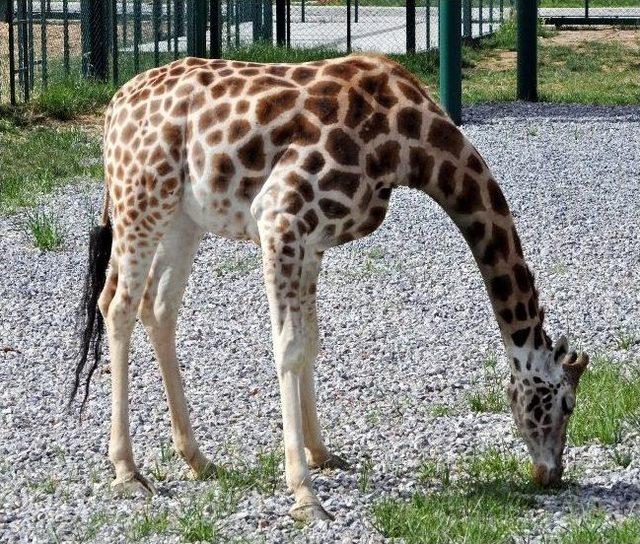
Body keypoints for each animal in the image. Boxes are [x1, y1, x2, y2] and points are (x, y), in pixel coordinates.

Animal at [71, 53, 592, 520]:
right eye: (564, 403)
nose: (550, 474)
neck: (409, 144)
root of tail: (114, 107)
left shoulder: (313, 239)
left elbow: (311, 344)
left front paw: (321, 454)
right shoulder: (280, 216)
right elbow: (287, 347)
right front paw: (304, 494)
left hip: (183, 216)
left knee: (157, 307)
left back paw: (197, 459)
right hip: (142, 199)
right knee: (117, 305)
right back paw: (127, 471)